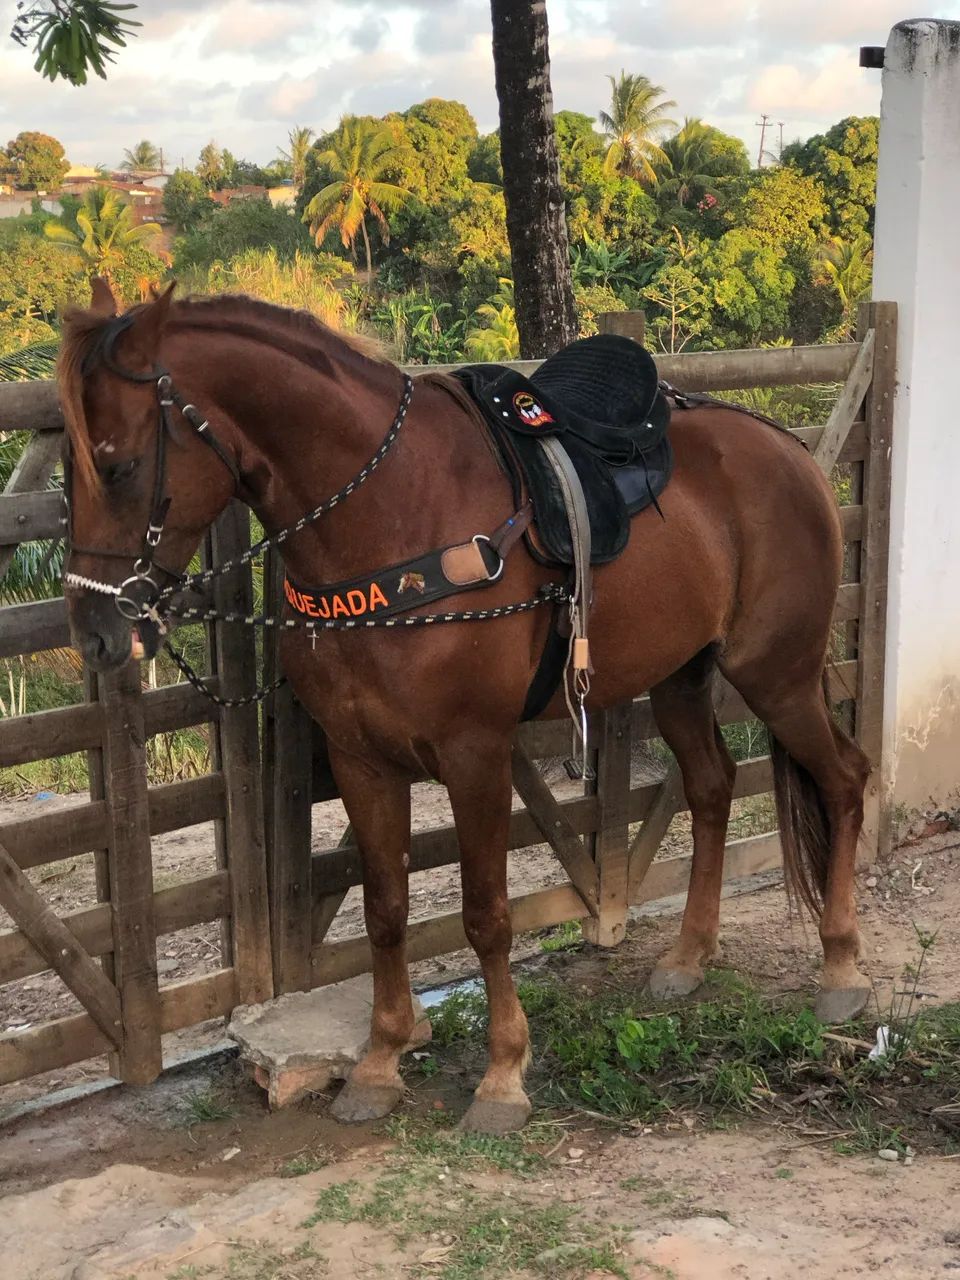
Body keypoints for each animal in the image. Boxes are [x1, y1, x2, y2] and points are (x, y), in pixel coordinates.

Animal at [58, 279, 871, 1135]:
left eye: (118, 464)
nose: (96, 631)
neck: (394, 515)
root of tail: (788, 453)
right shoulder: (359, 757)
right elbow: (386, 908)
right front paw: (379, 1062)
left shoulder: (475, 754)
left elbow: (487, 915)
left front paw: (503, 1074)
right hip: (682, 680)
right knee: (713, 787)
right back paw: (689, 956)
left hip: (776, 676)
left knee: (845, 779)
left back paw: (842, 967)